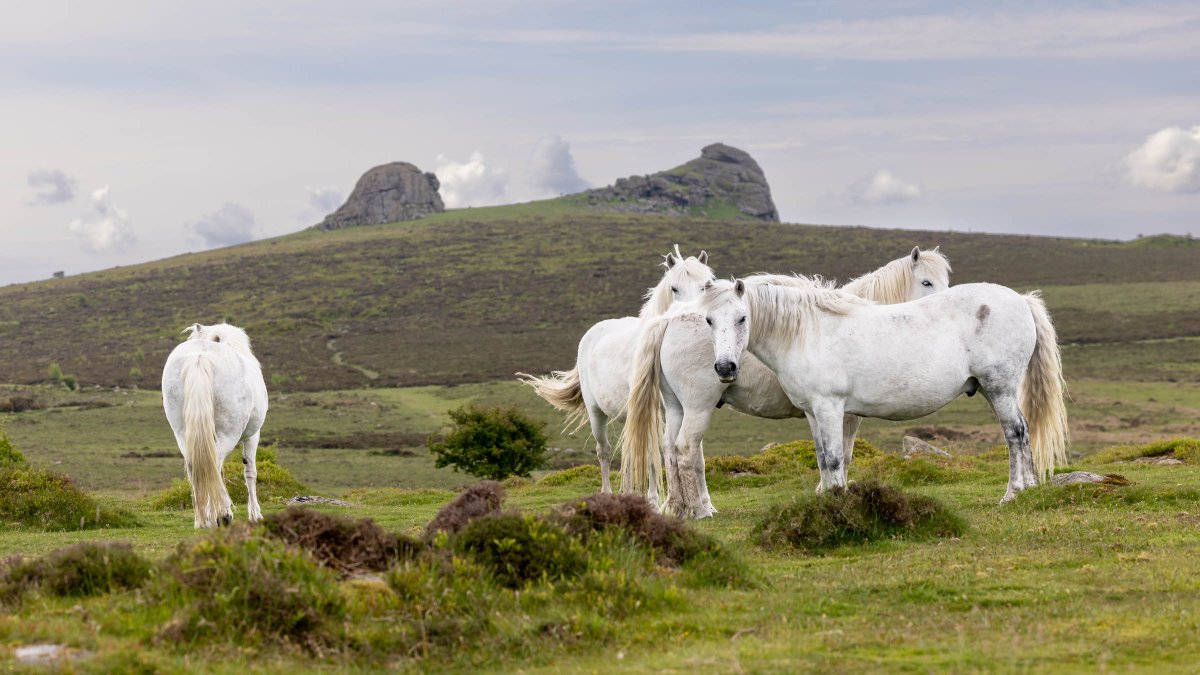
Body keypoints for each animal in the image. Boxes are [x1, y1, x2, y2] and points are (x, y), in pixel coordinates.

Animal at [162, 322, 269, 528]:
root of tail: (200, 357)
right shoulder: (254, 435)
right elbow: (250, 471)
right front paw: (255, 514)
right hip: (228, 434)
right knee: (214, 465)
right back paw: (222, 515)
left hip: (182, 433)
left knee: (195, 467)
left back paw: (202, 519)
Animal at [517, 245, 715, 496]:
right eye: (674, 288)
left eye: (706, 285)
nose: (693, 318)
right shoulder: (651, 412)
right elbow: (653, 456)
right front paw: (654, 498)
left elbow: (693, 454)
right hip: (596, 413)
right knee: (605, 451)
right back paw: (609, 493)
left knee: (629, 452)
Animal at [622, 248, 952, 517]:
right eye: (927, 282)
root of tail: (670, 319)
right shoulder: (846, 413)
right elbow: (842, 454)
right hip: (697, 407)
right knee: (687, 449)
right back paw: (699, 510)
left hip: (677, 407)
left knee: (671, 450)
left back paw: (680, 506)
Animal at [689, 278, 1068, 505]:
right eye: (708, 320)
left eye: (741, 318)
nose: (725, 368)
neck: (806, 332)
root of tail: (1020, 300)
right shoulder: (813, 412)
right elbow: (823, 458)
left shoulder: (830, 407)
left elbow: (834, 457)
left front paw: (838, 504)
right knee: (1022, 432)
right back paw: (1028, 488)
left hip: (999, 388)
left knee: (1015, 433)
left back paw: (1013, 493)